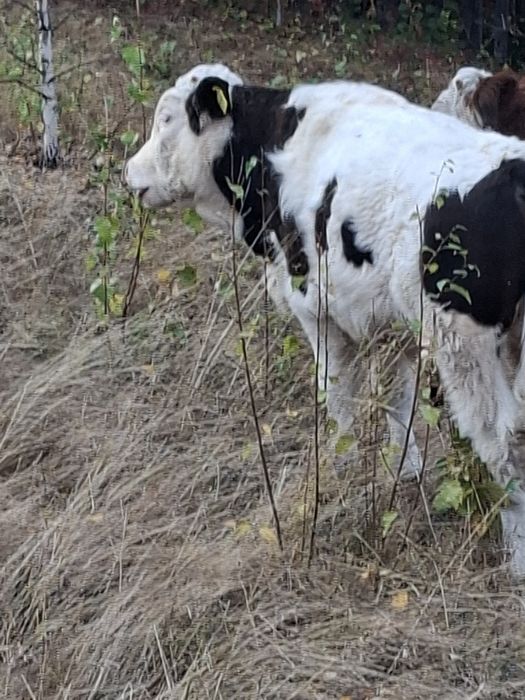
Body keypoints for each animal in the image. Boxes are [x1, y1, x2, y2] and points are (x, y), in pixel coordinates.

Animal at [126, 63, 525, 575]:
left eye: (167, 120)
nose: (129, 171)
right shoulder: (392, 323)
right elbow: (397, 401)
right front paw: (403, 471)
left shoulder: (316, 310)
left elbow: (338, 396)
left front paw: (344, 466)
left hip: (465, 349)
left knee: (504, 443)